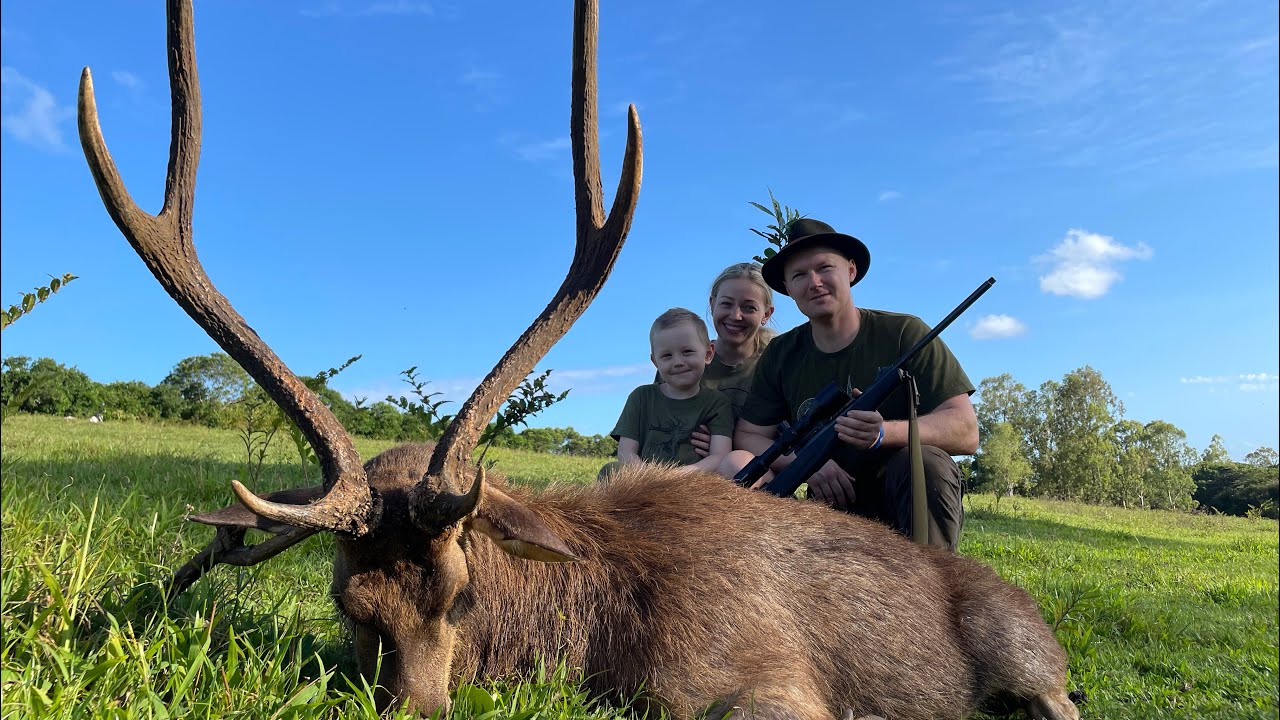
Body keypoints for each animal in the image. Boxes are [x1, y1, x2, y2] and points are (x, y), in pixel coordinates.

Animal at [76, 1, 1080, 718]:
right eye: (350, 608)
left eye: (461, 594)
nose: (418, 709)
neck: (594, 644)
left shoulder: (767, 678)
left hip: (1026, 650)